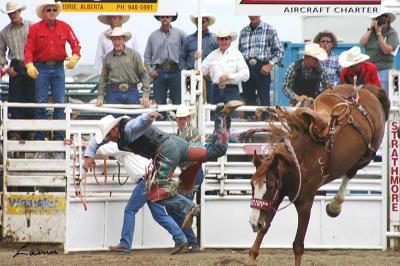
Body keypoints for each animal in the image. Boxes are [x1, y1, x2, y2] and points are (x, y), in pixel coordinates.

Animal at [245, 84, 390, 266]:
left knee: (351, 172)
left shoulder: (305, 203)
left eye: (270, 186)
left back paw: (334, 206)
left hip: (368, 154)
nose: (253, 223)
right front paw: (251, 257)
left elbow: (298, 245)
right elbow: (264, 228)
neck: (298, 160)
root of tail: (367, 91)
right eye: (252, 185)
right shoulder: (277, 196)